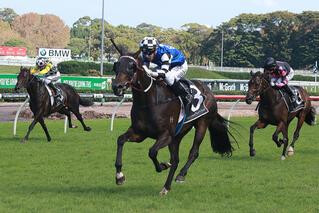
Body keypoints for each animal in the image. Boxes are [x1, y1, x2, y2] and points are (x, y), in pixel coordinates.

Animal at [112, 46, 238, 195]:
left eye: (132, 66)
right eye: (116, 65)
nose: (117, 86)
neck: (150, 102)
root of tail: (208, 90)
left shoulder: (166, 135)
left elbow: (152, 152)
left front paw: (163, 165)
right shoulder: (139, 133)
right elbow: (120, 140)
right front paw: (119, 176)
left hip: (201, 125)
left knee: (193, 152)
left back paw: (180, 175)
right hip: (178, 136)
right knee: (176, 159)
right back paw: (166, 187)